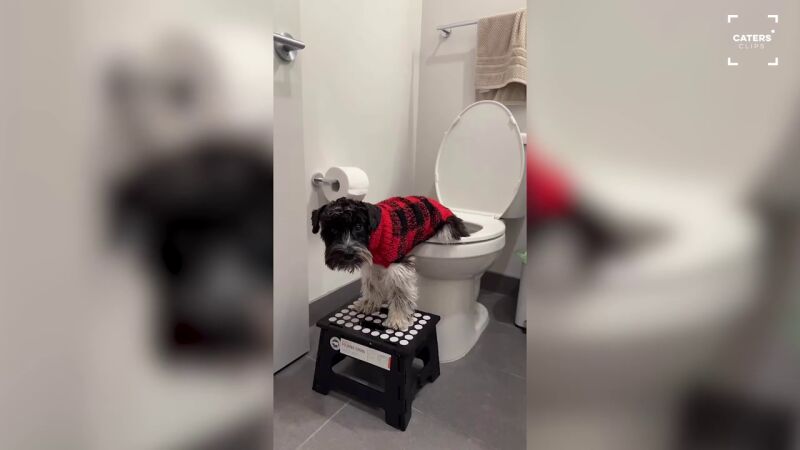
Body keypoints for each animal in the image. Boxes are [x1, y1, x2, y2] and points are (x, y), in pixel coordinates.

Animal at [311, 196, 469, 330]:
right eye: (332, 229)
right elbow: (372, 284)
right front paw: (370, 303)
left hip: (447, 230)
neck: (377, 233)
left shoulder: (398, 267)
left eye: (358, 226)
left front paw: (397, 319)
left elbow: (400, 294)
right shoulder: (372, 263)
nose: (348, 254)